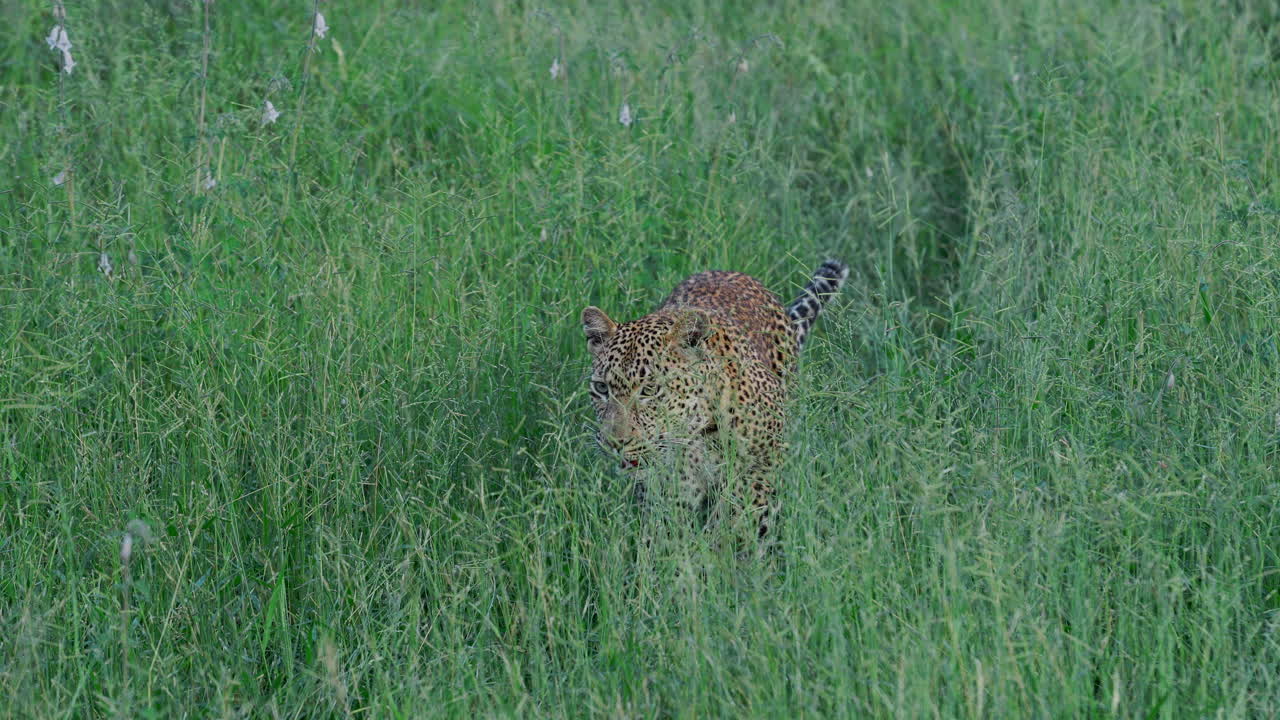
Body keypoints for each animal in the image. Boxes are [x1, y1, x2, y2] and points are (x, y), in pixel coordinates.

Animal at [582, 260, 848, 546]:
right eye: (601, 388)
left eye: (650, 390)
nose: (615, 443)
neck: (697, 434)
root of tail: (731, 272)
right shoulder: (671, 487)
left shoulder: (763, 463)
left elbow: (738, 518)